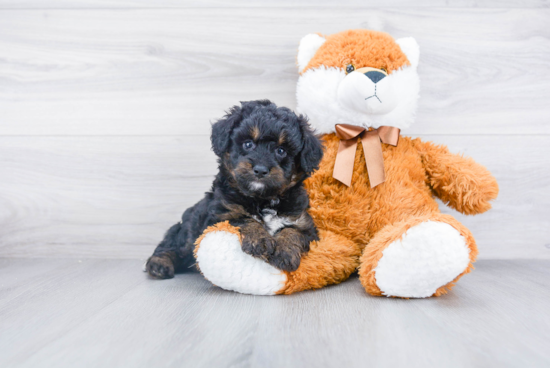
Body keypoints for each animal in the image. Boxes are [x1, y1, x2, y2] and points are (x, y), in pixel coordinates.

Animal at [149, 99, 326, 278]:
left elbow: (294, 231)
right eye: (248, 144)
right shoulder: (219, 217)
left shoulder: (303, 222)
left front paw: (285, 252)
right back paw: (159, 264)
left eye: (281, 150)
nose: (260, 169)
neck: (262, 199)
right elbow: (243, 219)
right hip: (187, 229)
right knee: (173, 245)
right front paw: (260, 241)